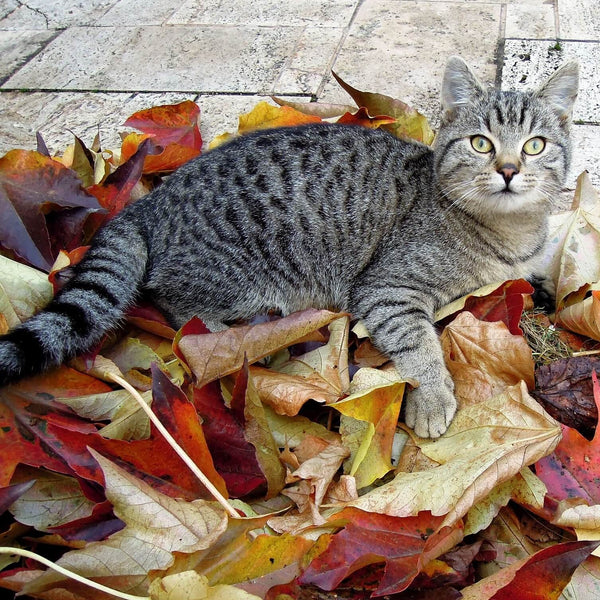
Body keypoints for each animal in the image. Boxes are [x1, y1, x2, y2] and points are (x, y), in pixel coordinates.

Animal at [1, 57, 580, 436]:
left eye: (535, 146)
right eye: (481, 143)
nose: (509, 169)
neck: (507, 232)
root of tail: (151, 200)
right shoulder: (387, 288)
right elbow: (418, 342)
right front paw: (434, 394)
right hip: (238, 280)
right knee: (177, 307)